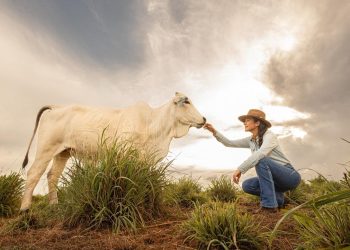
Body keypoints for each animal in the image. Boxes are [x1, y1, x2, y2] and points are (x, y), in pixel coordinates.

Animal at [20, 92, 206, 211]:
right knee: (34, 173)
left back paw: (54, 206)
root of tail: (56, 107)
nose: (204, 119)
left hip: (63, 152)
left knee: (52, 176)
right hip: (46, 149)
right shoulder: (124, 154)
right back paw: (25, 209)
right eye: (186, 102)